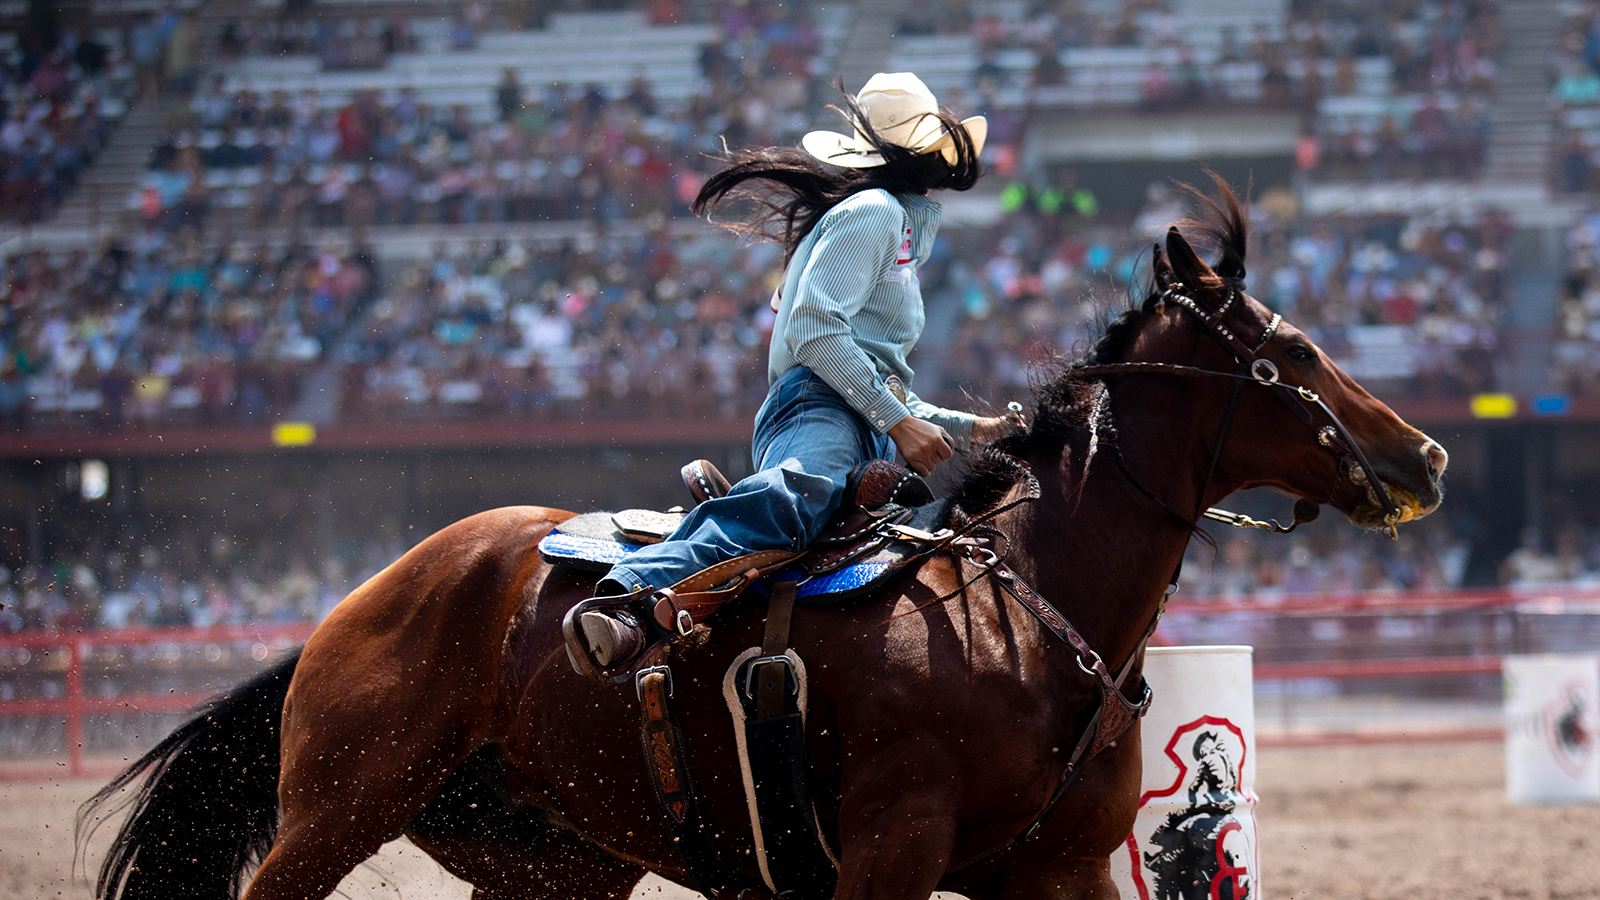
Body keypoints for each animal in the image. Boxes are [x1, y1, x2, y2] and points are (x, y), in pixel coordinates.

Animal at [81, 184, 1446, 896]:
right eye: (1291, 351)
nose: (1425, 458)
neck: (1024, 617)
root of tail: (364, 600)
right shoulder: (886, 861)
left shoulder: (1060, 871)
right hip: (333, 815)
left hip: (552, 862)